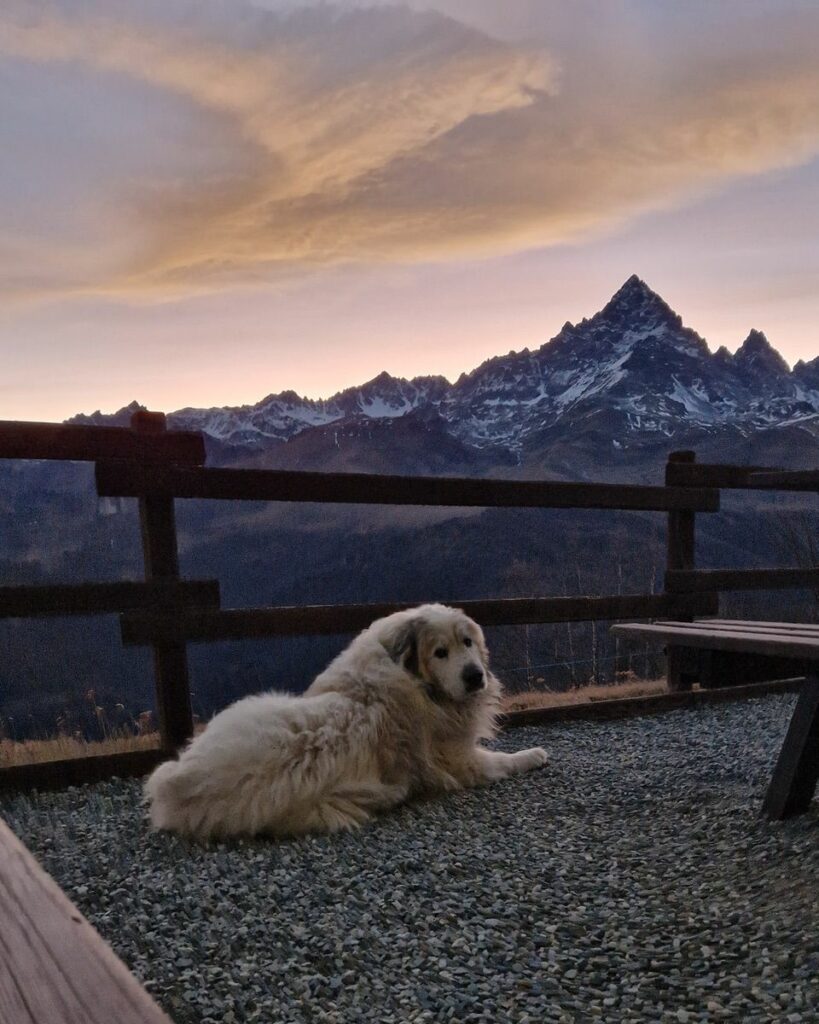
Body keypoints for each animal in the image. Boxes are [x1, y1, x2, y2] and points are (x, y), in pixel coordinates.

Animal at [144, 602, 548, 835]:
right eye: (440, 652)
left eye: (467, 642)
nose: (475, 676)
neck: (410, 676)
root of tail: (179, 784)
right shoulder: (463, 762)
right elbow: (503, 761)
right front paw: (533, 755)